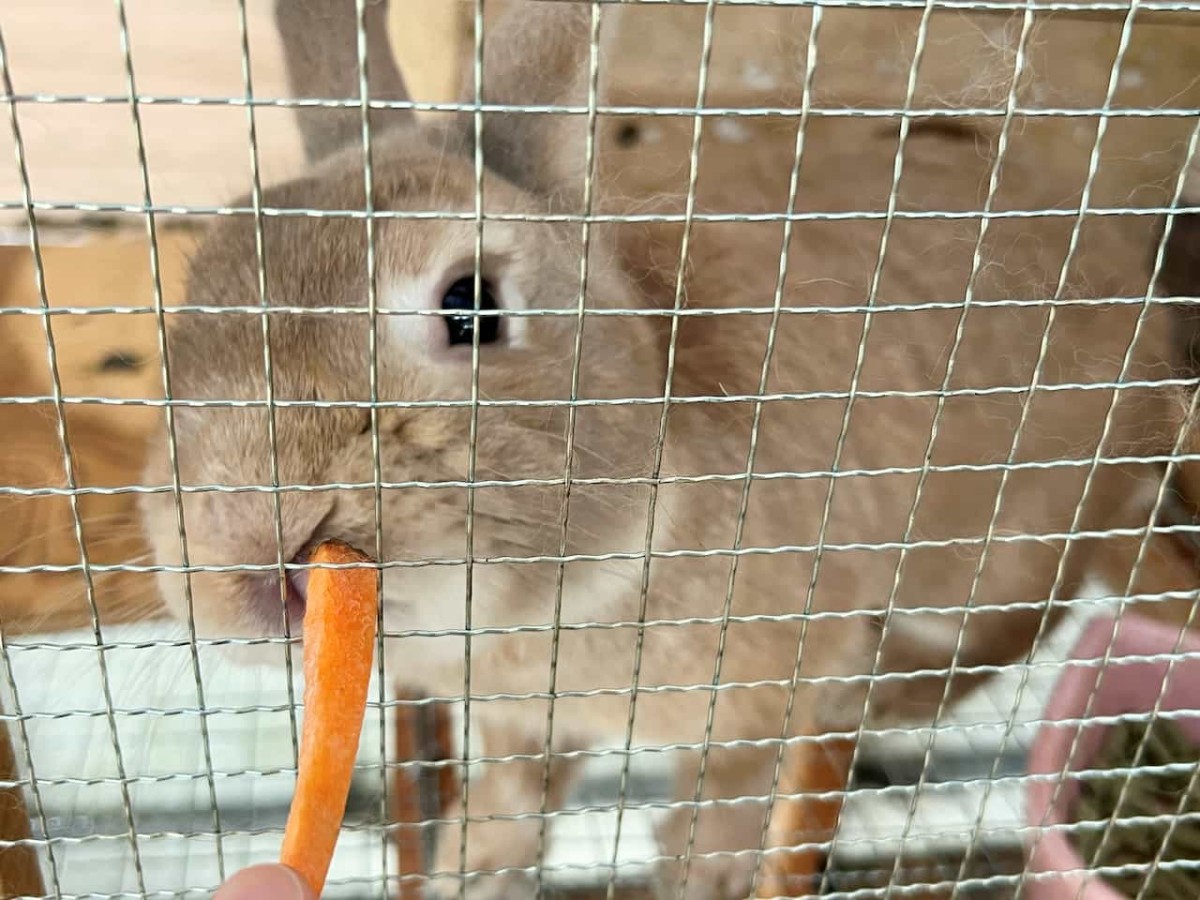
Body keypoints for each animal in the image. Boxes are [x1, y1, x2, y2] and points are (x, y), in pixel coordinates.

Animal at [138, 1, 1190, 900]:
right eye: (189, 309)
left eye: (471, 305)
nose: (242, 534)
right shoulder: (519, 721)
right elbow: (510, 804)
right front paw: (471, 872)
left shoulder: (757, 693)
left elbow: (727, 792)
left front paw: (700, 868)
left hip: (989, 580)